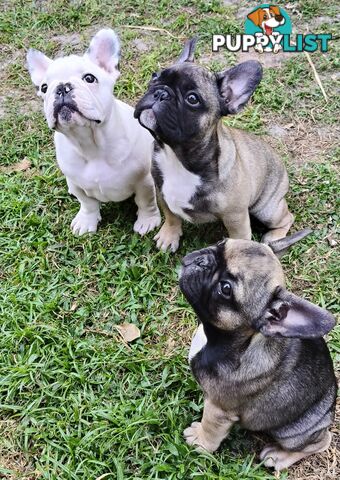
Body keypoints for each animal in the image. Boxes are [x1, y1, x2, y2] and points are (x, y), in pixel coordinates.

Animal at [25, 29, 160, 235]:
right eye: (44, 88)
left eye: (90, 78)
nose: (62, 87)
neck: (89, 142)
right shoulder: (77, 184)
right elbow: (87, 203)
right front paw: (86, 221)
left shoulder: (144, 180)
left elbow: (145, 201)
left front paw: (147, 220)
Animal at [134, 38, 294, 251]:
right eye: (154, 76)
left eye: (192, 99)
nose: (160, 93)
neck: (177, 157)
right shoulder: (161, 191)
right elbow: (171, 215)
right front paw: (169, 235)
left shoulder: (236, 217)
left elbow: (239, 238)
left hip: (267, 208)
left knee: (286, 218)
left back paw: (274, 236)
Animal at [179, 230, 336, 472]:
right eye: (220, 243)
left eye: (226, 289)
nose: (202, 260)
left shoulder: (218, 409)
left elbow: (210, 428)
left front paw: (200, 441)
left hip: (293, 431)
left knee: (320, 442)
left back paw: (278, 456)